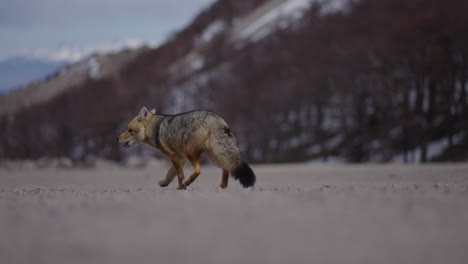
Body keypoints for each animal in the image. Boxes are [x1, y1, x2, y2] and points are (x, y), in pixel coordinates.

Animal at [117, 107, 256, 190]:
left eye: (130, 130)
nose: (117, 139)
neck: (155, 128)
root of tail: (215, 119)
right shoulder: (181, 158)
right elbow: (170, 174)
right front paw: (164, 183)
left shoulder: (174, 156)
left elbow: (179, 175)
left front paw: (181, 186)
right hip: (214, 156)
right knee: (227, 168)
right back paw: (222, 186)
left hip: (193, 153)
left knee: (198, 171)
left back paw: (188, 182)